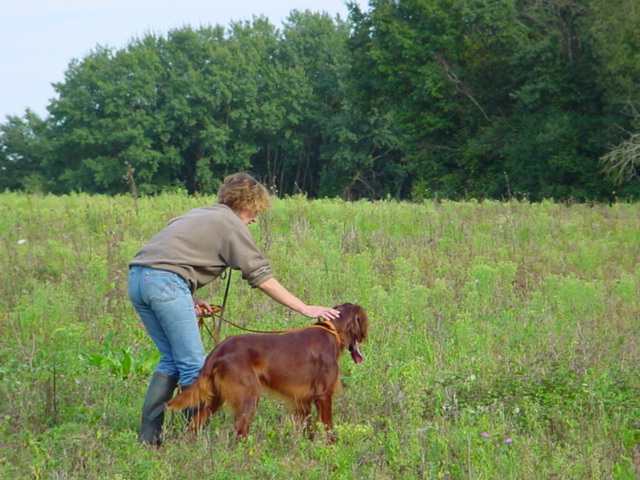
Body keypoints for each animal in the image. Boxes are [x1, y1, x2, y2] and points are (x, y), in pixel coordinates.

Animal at [166, 302, 370, 440]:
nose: (362, 337)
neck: (332, 331)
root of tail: (219, 349)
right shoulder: (323, 395)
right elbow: (328, 426)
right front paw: (331, 447)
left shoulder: (302, 399)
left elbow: (308, 428)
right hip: (249, 394)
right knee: (238, 431)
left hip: (215, 397)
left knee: (194, 423)